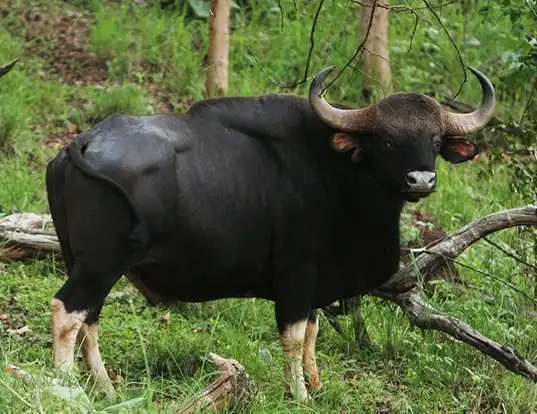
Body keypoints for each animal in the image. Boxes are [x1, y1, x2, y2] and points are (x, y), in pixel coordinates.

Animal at [45, 67, 494, 402]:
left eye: (435, 140)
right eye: (387, 139)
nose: (421, 180)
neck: (336, 172)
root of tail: (85, 142)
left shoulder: (316, 280)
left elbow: (312, 331)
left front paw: (316, 385)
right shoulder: (296, 274)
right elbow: (293, 335)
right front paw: (299, 393)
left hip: (81, 260)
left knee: (89, 320)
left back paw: (106, 390)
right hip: (101, 262)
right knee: (67, 312)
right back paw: (68, 388)